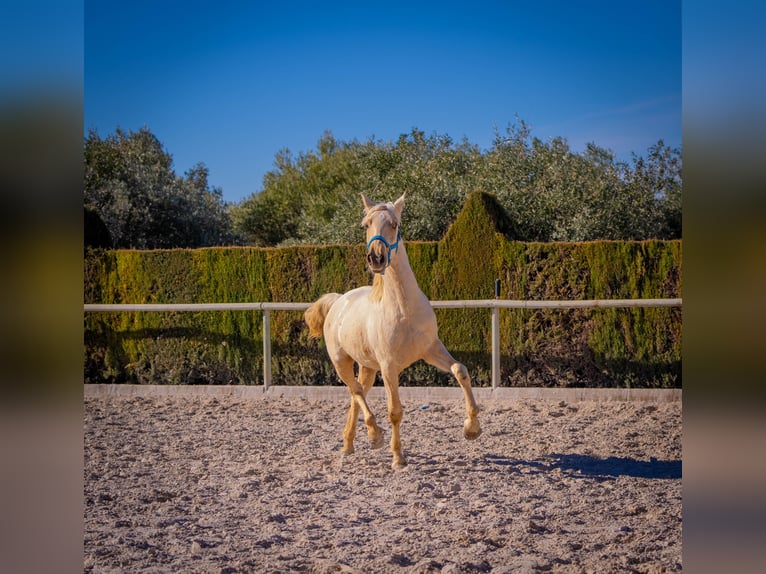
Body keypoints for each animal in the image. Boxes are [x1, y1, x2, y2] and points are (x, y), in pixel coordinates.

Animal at [304, 191, 480, 470]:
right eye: (365, 225)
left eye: (395, 224)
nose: (376, 258)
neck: (404, 309)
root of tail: (338, 301)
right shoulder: (389, 366)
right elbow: (395, 411)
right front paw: (398, 457)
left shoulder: (430, 349)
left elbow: (460, 370)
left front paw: (472, 429)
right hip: (342, 362)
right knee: (356, 392)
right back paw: (374, 435)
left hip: (367, 367)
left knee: (357, 394)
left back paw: (349, 444)